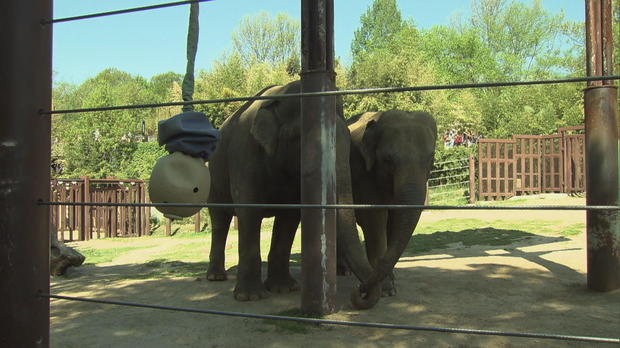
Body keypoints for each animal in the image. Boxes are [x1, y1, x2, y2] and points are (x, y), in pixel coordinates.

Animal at [207, 79, 382, 308]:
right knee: (219, 219)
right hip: (212, 177)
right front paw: (250, 297)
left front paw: (283, 289)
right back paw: (215, 277)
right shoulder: (243, 155)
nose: (360, 292)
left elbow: (289, 216)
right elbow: (249, 210)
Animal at [346, 111, 438, 296]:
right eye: (387, 159)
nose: (360, 290)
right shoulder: (361, 172)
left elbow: (396, 219)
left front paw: (391, 284)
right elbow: (375, 219)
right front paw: (386, 290)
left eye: (431, 157)